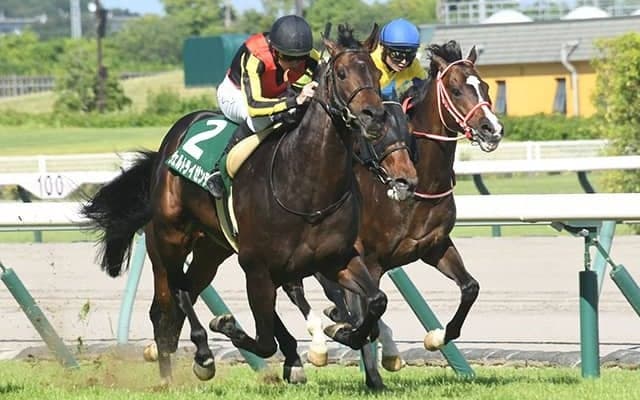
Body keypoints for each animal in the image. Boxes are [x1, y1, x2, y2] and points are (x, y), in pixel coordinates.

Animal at [81, 24, 418, 386]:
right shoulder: (256, 266)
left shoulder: (336, 258)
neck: (306, 186)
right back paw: (198, 357)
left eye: (374, 73)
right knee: (173, 296)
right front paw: (229, 326)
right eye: (341, 74)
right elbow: (265, 340)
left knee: (181, 295)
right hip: (170, 237)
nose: (374, 117)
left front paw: (343, 332)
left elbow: (375, 301)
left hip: (212, 249)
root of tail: (165, 149)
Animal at [281, 40, 504, 389]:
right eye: (456, 90)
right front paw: (369, 369)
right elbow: (366, 317)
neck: (421, 184)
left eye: (485, 86)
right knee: (297, 289)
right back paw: (320, 344)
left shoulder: (434, 246)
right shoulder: (367, 259)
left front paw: (436, 337)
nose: (491, 129)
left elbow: (470, 288)